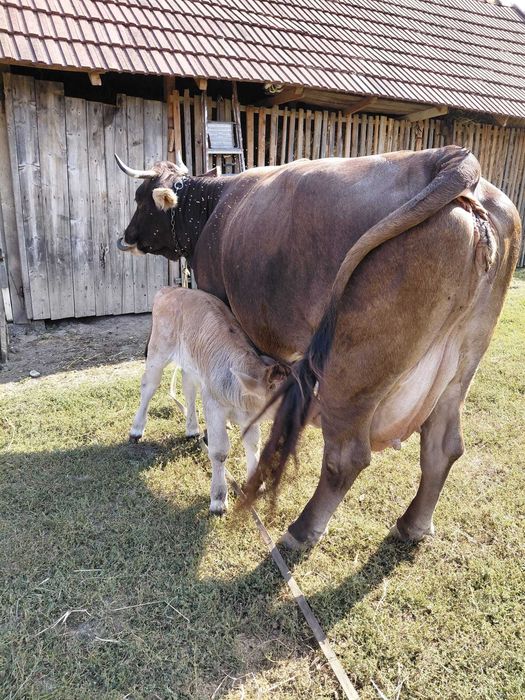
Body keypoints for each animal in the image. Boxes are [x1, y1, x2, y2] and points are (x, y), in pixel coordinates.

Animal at [129, 286, 289, 514]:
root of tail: (171, 289)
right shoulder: (214, 407)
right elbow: (220, 451)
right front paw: (218, 500)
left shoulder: (250, 416)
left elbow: (253, 444)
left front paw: (254, 485)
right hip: (158, 350)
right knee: (149, 386)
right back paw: (136, 430)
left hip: (190, 363)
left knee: (188, 387)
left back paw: (192, 428)